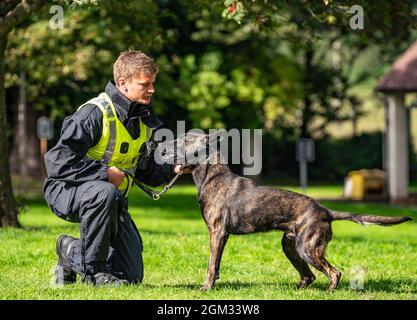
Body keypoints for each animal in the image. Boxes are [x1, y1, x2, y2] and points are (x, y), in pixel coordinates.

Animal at [157, 131, 412, 292]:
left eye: (185, 139)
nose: (162, 146)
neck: (211, 175)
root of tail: (326, 211)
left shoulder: (217, 233)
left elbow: (211, 266)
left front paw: (206, 287)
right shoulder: (221, 236)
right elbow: (216, 265)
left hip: (308, 248)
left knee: (334, 272)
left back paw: (329, 292)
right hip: (291, 246)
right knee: (309, 276)